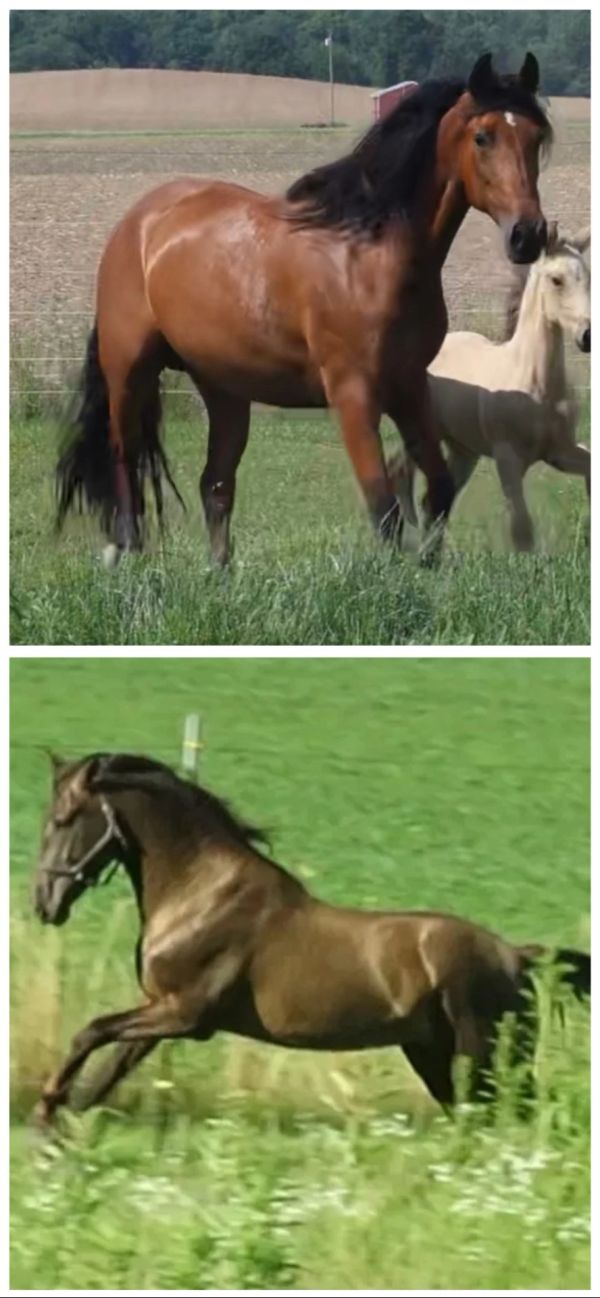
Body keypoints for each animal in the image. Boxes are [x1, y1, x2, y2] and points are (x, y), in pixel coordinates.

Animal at [32, 752, 589, 1126]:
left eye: (63, 819)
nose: (44, 902)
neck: (201, 893)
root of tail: (517, 957)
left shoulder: (185, 1013)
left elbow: (91, 1032)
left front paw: (46, 1109)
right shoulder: (162, 1012)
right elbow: (106, 1070)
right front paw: (67, 1125)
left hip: (485, 1054)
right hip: (434, 1054)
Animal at [55, 53, 551, 568]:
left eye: (536, 137)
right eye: (483, 137)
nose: (528, 235)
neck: (370, 253)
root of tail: (136, 224)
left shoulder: (409, 387)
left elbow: (438, 489)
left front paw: (428, 569)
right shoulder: (354, 394)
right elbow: (384, 506)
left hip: (224, 389)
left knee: (216, 484)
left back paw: (219, 572)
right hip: (129, 373)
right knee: (125, 464)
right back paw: (124, 554)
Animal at [389, 224, 590, 550]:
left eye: (587, 276)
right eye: (556, 279)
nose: (588, 336)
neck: (536, 385)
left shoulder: (560, 451)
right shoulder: (507, 458)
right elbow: (522, 530)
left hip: (463, 451)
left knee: (434, 501)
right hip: (425, 432)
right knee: (400, 474)